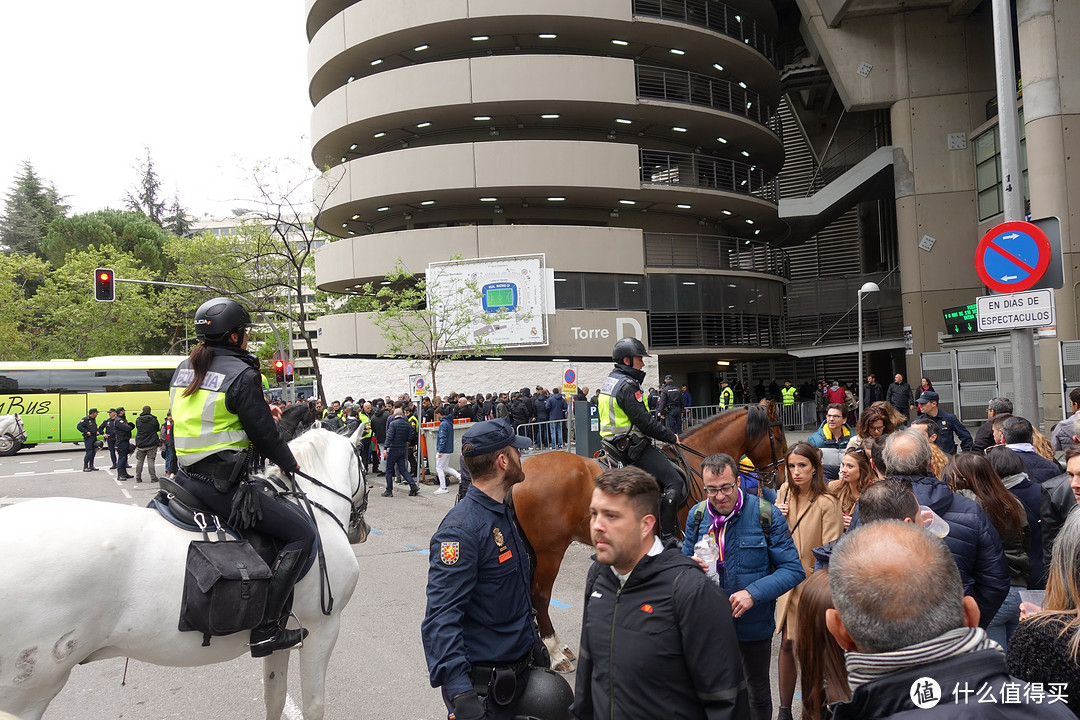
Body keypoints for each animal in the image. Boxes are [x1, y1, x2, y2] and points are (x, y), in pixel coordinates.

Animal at [0, 427, 369, 720]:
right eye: (364, 465)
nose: (361, 529)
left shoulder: (285, 636)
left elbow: (274, 698)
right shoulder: (322, 629)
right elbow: (314, 706)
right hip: (29, 690)